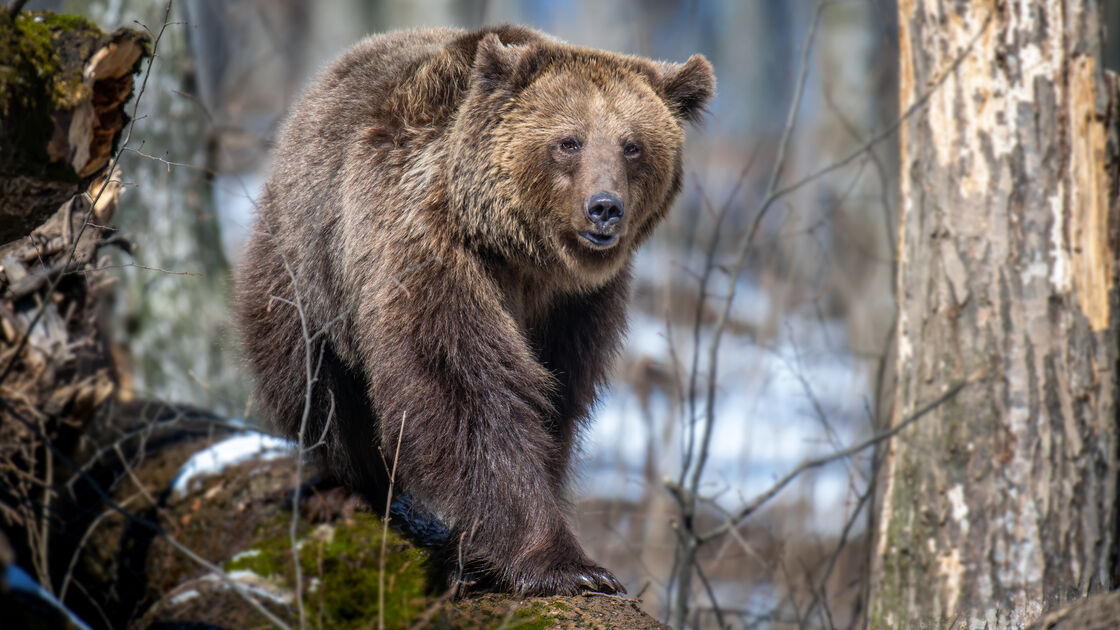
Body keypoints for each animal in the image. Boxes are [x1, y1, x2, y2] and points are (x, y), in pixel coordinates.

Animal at [235, 25, 714, 596]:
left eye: (633, 145)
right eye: (569, 141)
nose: (604, 208)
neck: (524, 255)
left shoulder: (578, 305)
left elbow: (556, 402)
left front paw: (484, 552)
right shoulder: (428, 245)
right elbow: (464, 390)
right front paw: (568, 565)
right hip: (307, 267)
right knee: (315, 386)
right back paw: (345, 485)